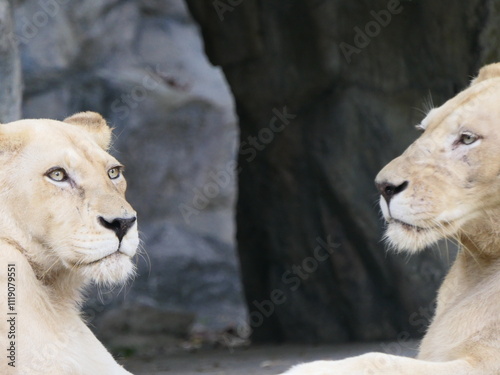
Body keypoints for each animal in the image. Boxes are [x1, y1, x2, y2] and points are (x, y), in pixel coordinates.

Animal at [282, 63, 500, 374]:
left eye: (467, 138)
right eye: (423, 128)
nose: (383, 186)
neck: (479, 267)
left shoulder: (484, 364)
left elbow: (381, 360)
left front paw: (308, 368)